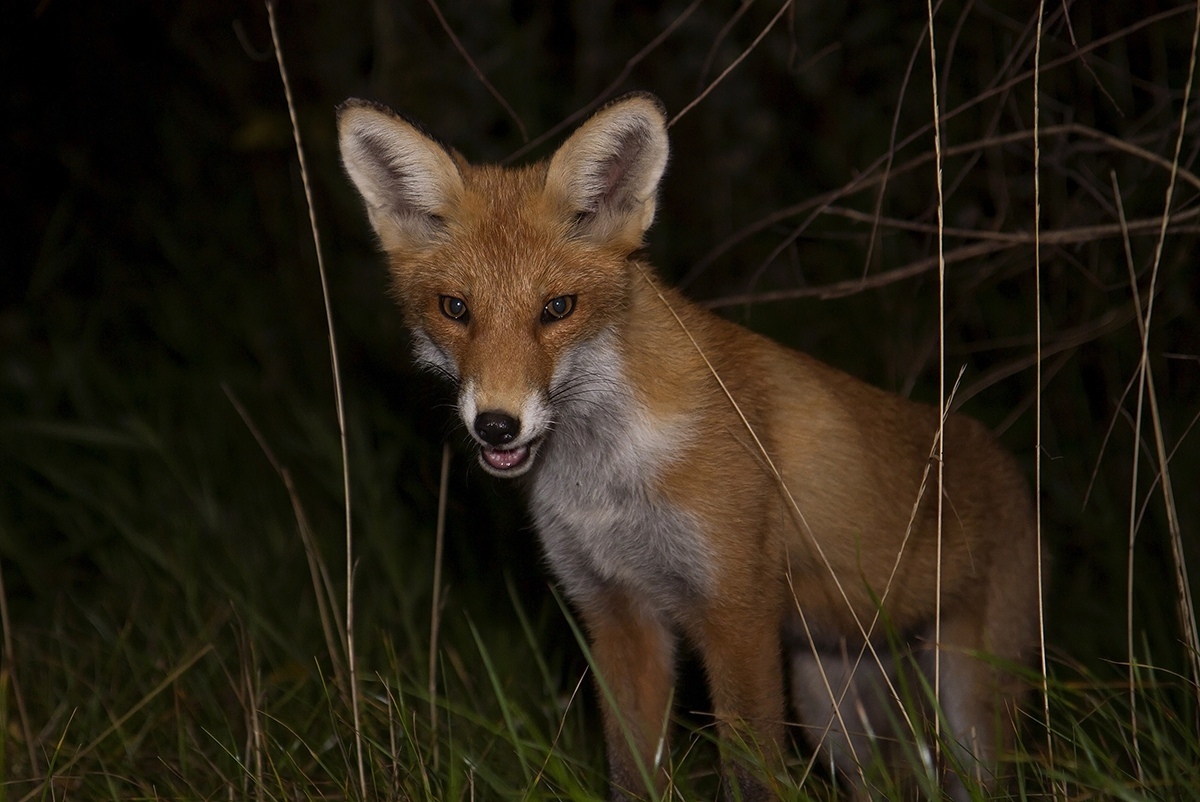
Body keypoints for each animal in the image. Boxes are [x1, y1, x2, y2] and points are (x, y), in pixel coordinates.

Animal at [338, 90, 1041, 797]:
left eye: (557, 308)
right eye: (455, 309)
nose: (497, 425)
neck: (608, 481)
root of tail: (1009, 462)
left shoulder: (736, 611)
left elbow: (753, 776)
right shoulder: (617, 614)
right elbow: (632, 775)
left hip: (966, 708)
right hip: (833, 710)